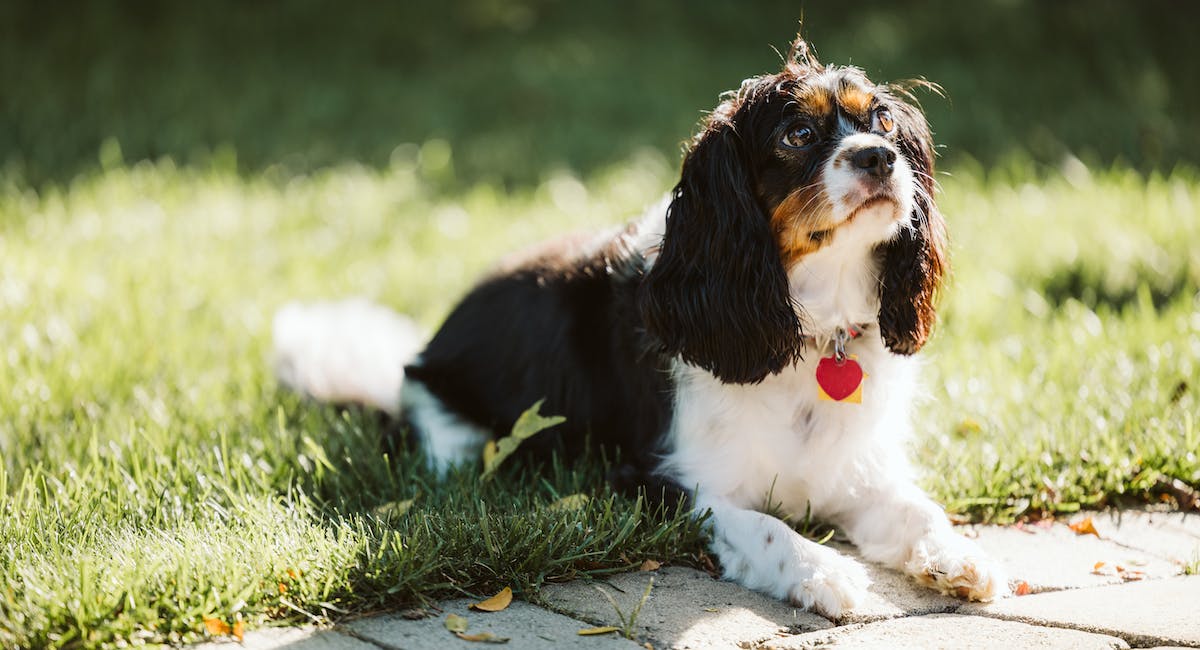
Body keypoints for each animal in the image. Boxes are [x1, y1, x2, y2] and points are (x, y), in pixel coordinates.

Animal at [272, 34, 1003, 618]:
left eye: (882, 120)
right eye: (796, 136)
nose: (879, 157)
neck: (811, 325)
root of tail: (421, 353)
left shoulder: (857, 470)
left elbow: (915, 509)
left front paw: (958, 556)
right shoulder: (665, 483)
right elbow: (763, 527)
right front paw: (827, 572)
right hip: (458, 430)